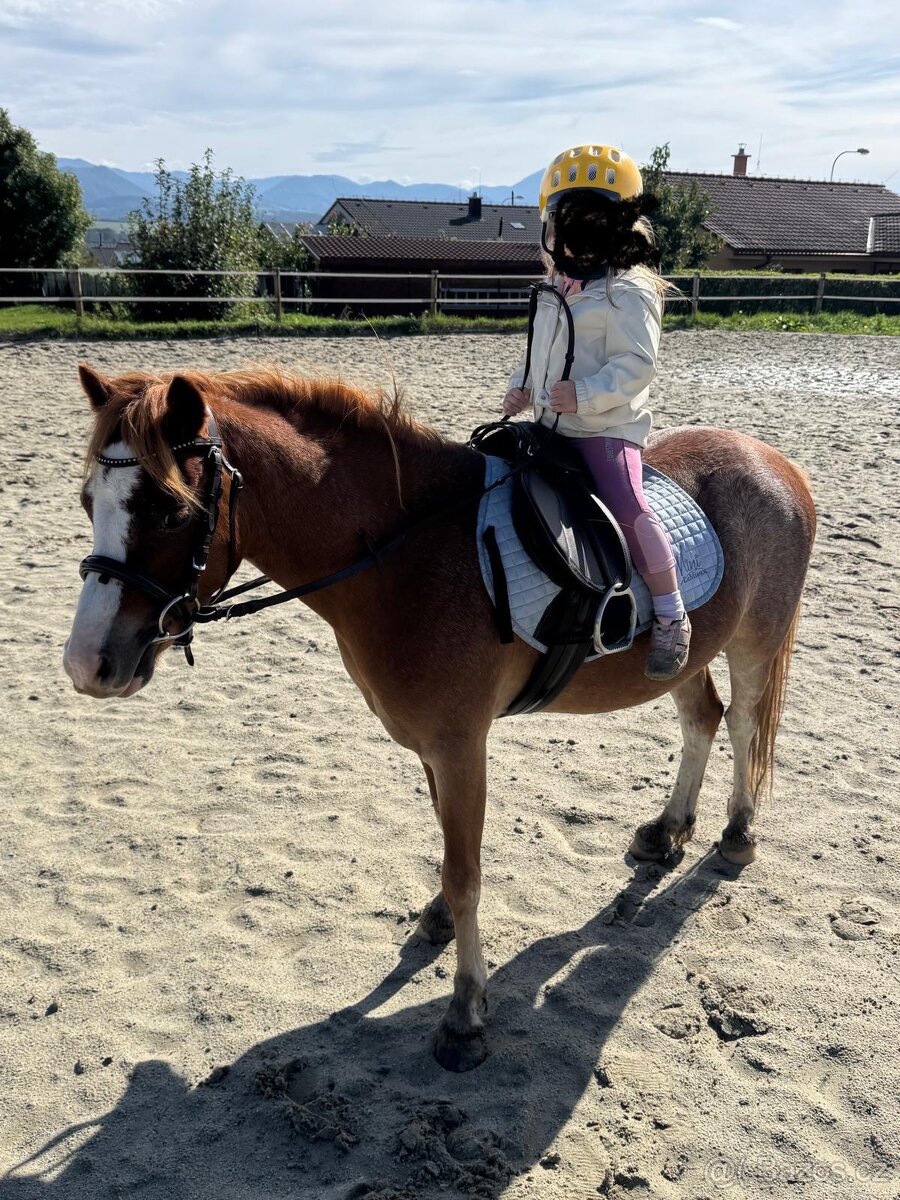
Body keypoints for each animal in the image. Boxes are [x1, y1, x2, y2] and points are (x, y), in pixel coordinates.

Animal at [63, 363, 816, 1072]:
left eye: (169, 510)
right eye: (87, 502)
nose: (86, 665)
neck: (403, 557)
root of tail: (772, 459)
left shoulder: (460, 746)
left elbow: (466, 873)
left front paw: (465, 1013)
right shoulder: (431, 747)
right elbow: (448, 856)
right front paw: (438, 925)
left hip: (755, 640)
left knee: (745, 725)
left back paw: (737, 836)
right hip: (683, 656)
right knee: (702, 720)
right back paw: (667, 832)